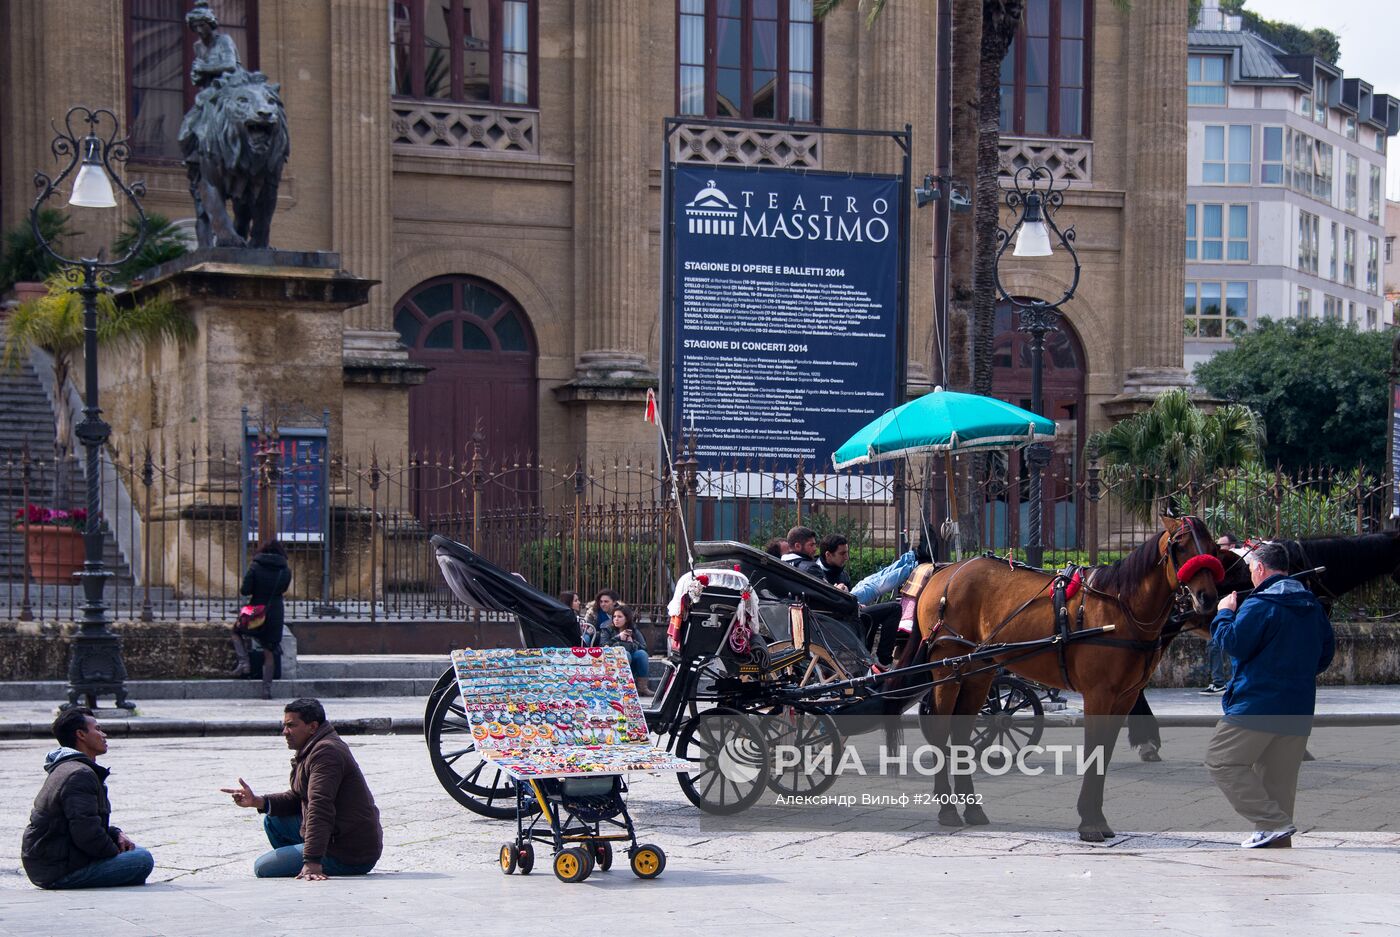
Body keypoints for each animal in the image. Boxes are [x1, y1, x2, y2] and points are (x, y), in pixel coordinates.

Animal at [901, 512, 1220, 840]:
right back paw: (947, 808)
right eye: (1179, 546)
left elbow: (1105, 751)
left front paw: (1098, 818)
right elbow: (1095, 750)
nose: (1207, 598)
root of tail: (943, 571)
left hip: (979, 672)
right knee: (941, 731)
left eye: (1213, 547)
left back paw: (972, 808)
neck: (1122, 608)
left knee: (963, 732)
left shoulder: (1125, 697)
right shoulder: (1098, 694)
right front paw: (1090, 821)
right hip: (947, 667)